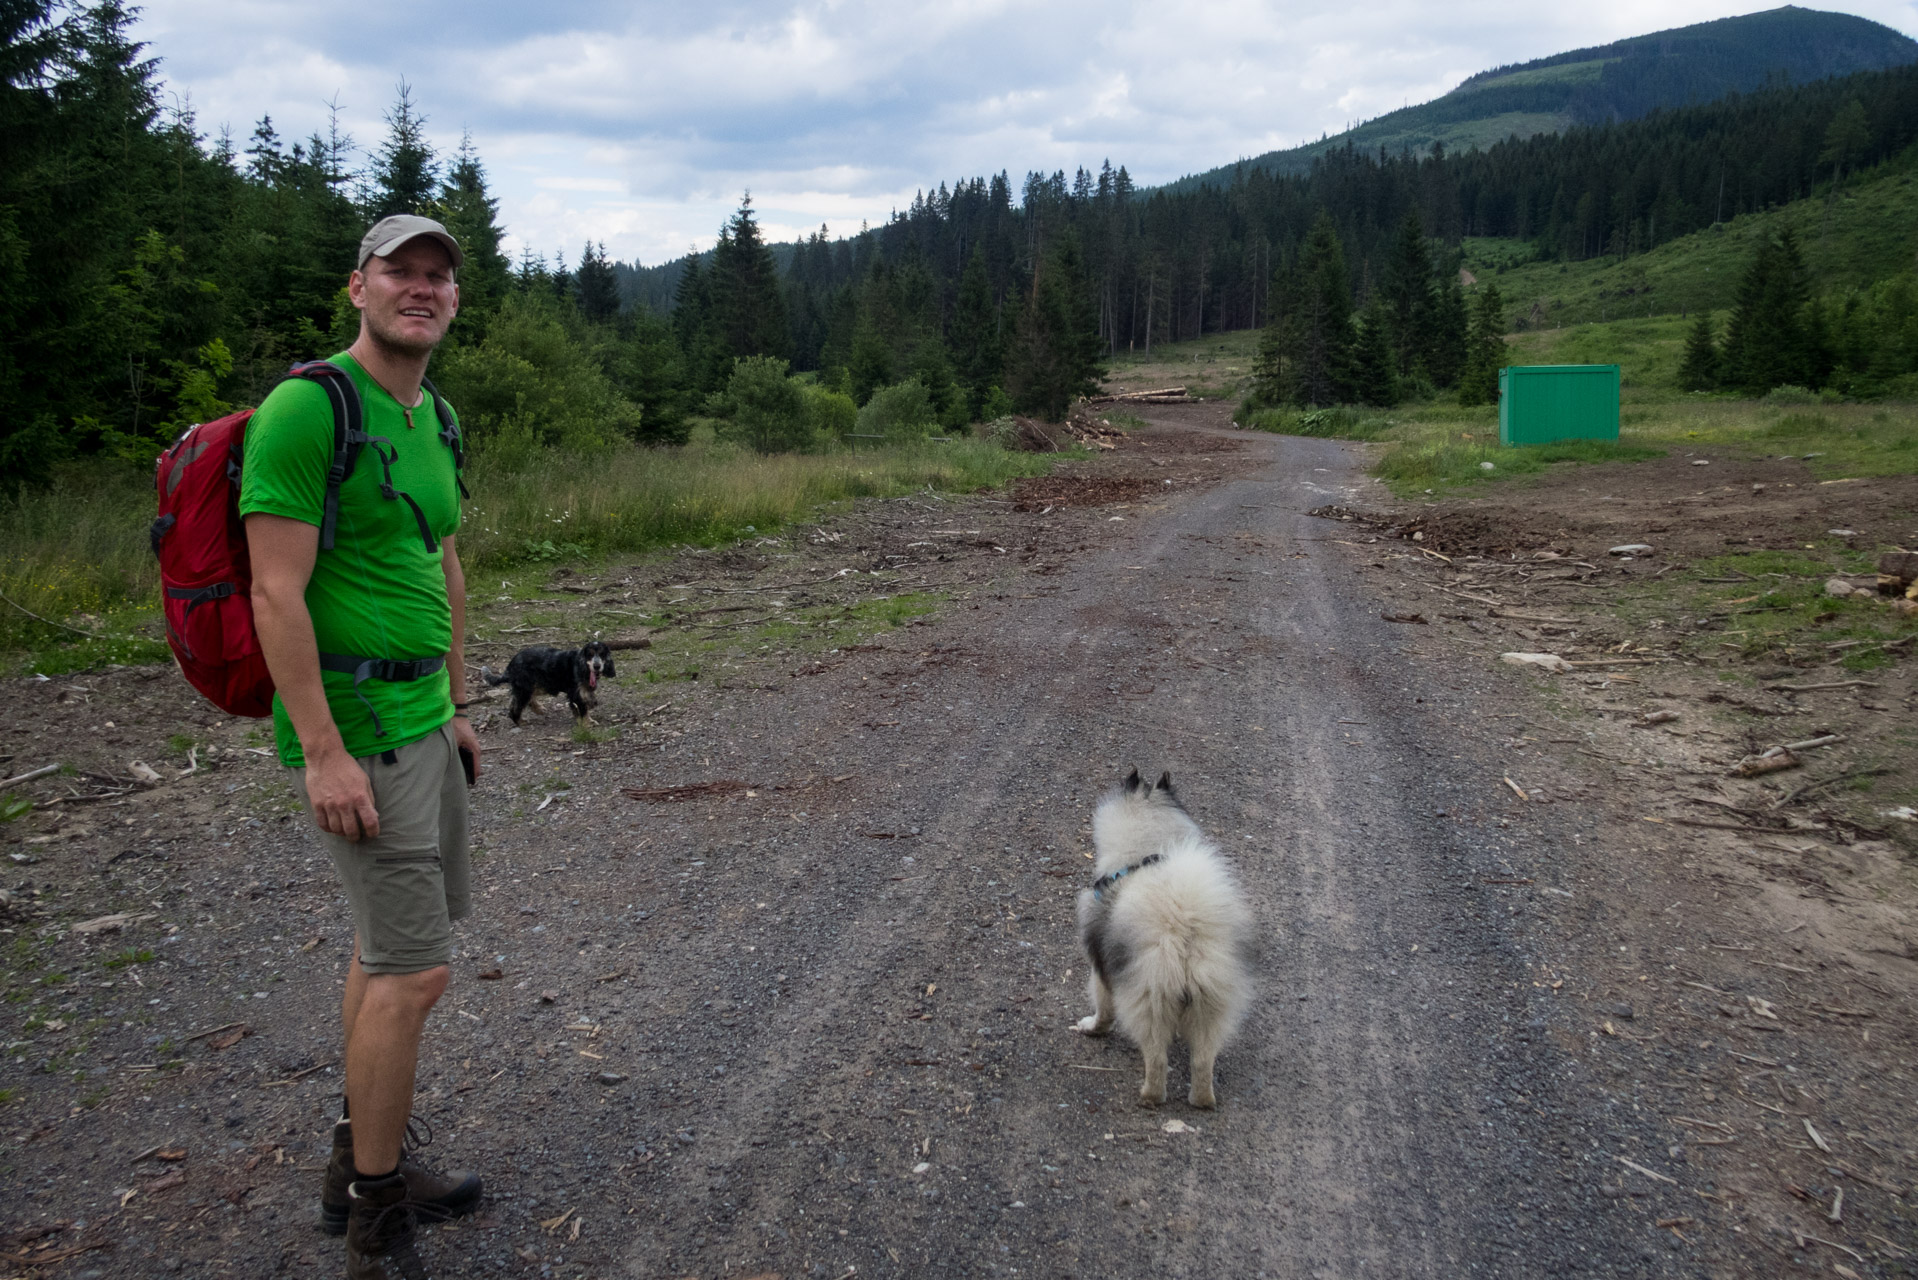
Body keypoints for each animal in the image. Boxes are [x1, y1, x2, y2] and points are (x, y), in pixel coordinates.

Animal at [479, 644, 613, 725]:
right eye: (590, 654)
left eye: (602, 654)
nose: (597, 666)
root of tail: (510, 665)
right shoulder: (576, 694)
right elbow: (583, 709)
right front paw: (587, 724)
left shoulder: (583, 691)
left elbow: (585, 707)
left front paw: (589, 720)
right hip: (526, 688)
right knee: (516, 705)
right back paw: (520, 721)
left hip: (534, 686)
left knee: (518, 700)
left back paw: (538, 709)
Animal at [1074, 771, 1250, 1113]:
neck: (1142, 849)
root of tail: (1183, 927)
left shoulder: (1100, 966)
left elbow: (1103, 1009)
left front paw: (1093, 1028)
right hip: (1210, 1002)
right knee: (1202, 1061)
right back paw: (1201, 1100)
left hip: (1149, 997)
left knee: (1156, 1058)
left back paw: (1149, 1097)